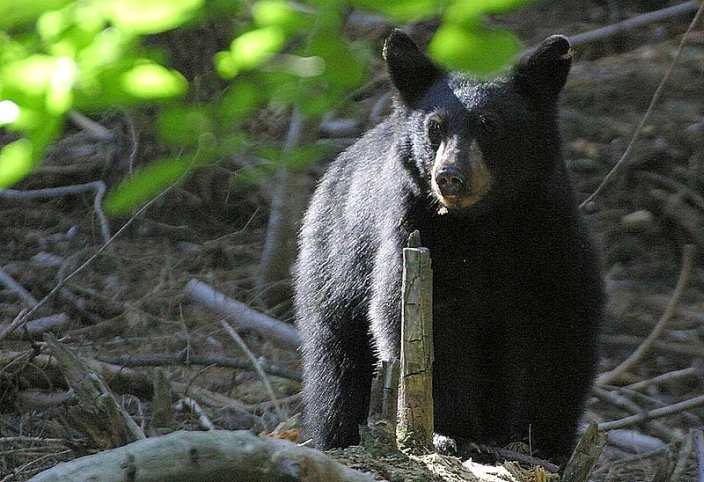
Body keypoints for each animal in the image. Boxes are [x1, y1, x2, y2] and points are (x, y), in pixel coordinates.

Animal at [293, 30, 603, 463]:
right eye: (435, 127)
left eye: (489, 124)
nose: (450, 177)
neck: (482, 222)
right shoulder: (416, 233)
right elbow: (421, 324)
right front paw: (453, 433)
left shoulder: (547, 232)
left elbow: (562, 323)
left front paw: (545, 441)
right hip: (335, 269)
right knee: (337, 367)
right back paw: (339, 435)